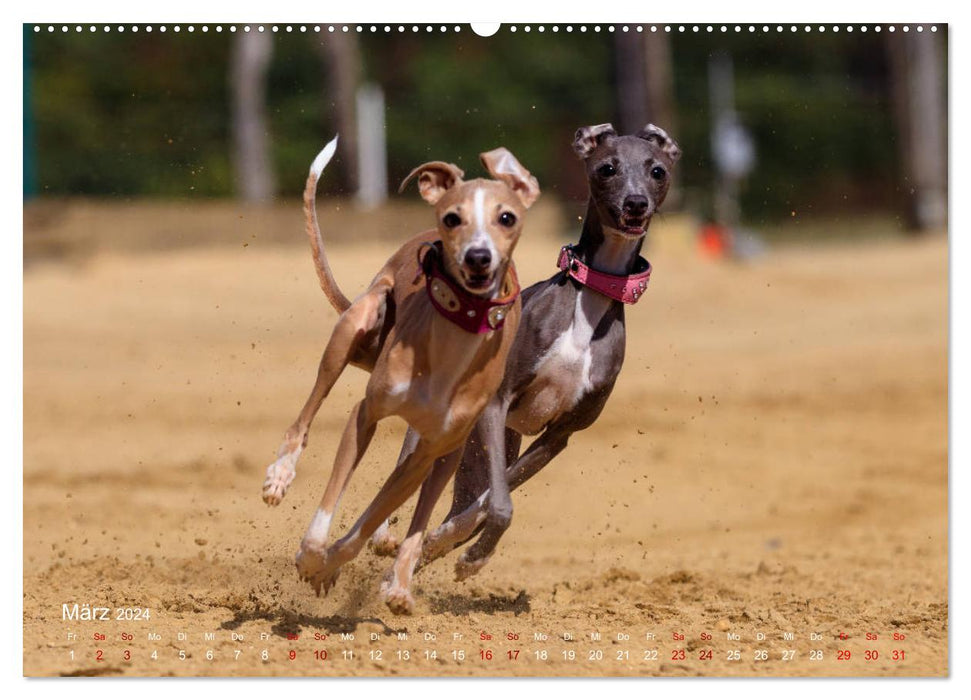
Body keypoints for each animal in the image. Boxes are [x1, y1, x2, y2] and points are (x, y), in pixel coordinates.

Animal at [260, 137, 540, 612]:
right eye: (452, 217)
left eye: (507, 217)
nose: (478, 258)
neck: (452, 340)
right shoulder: (366, 413)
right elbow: (332, 507)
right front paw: (313, 558)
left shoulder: (429, 450)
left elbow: (372, 522)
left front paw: (332, 567)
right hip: (354, 326)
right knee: (307, 414)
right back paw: (280, 475)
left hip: (449, 449)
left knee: (419, 509)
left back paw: (400, 583)